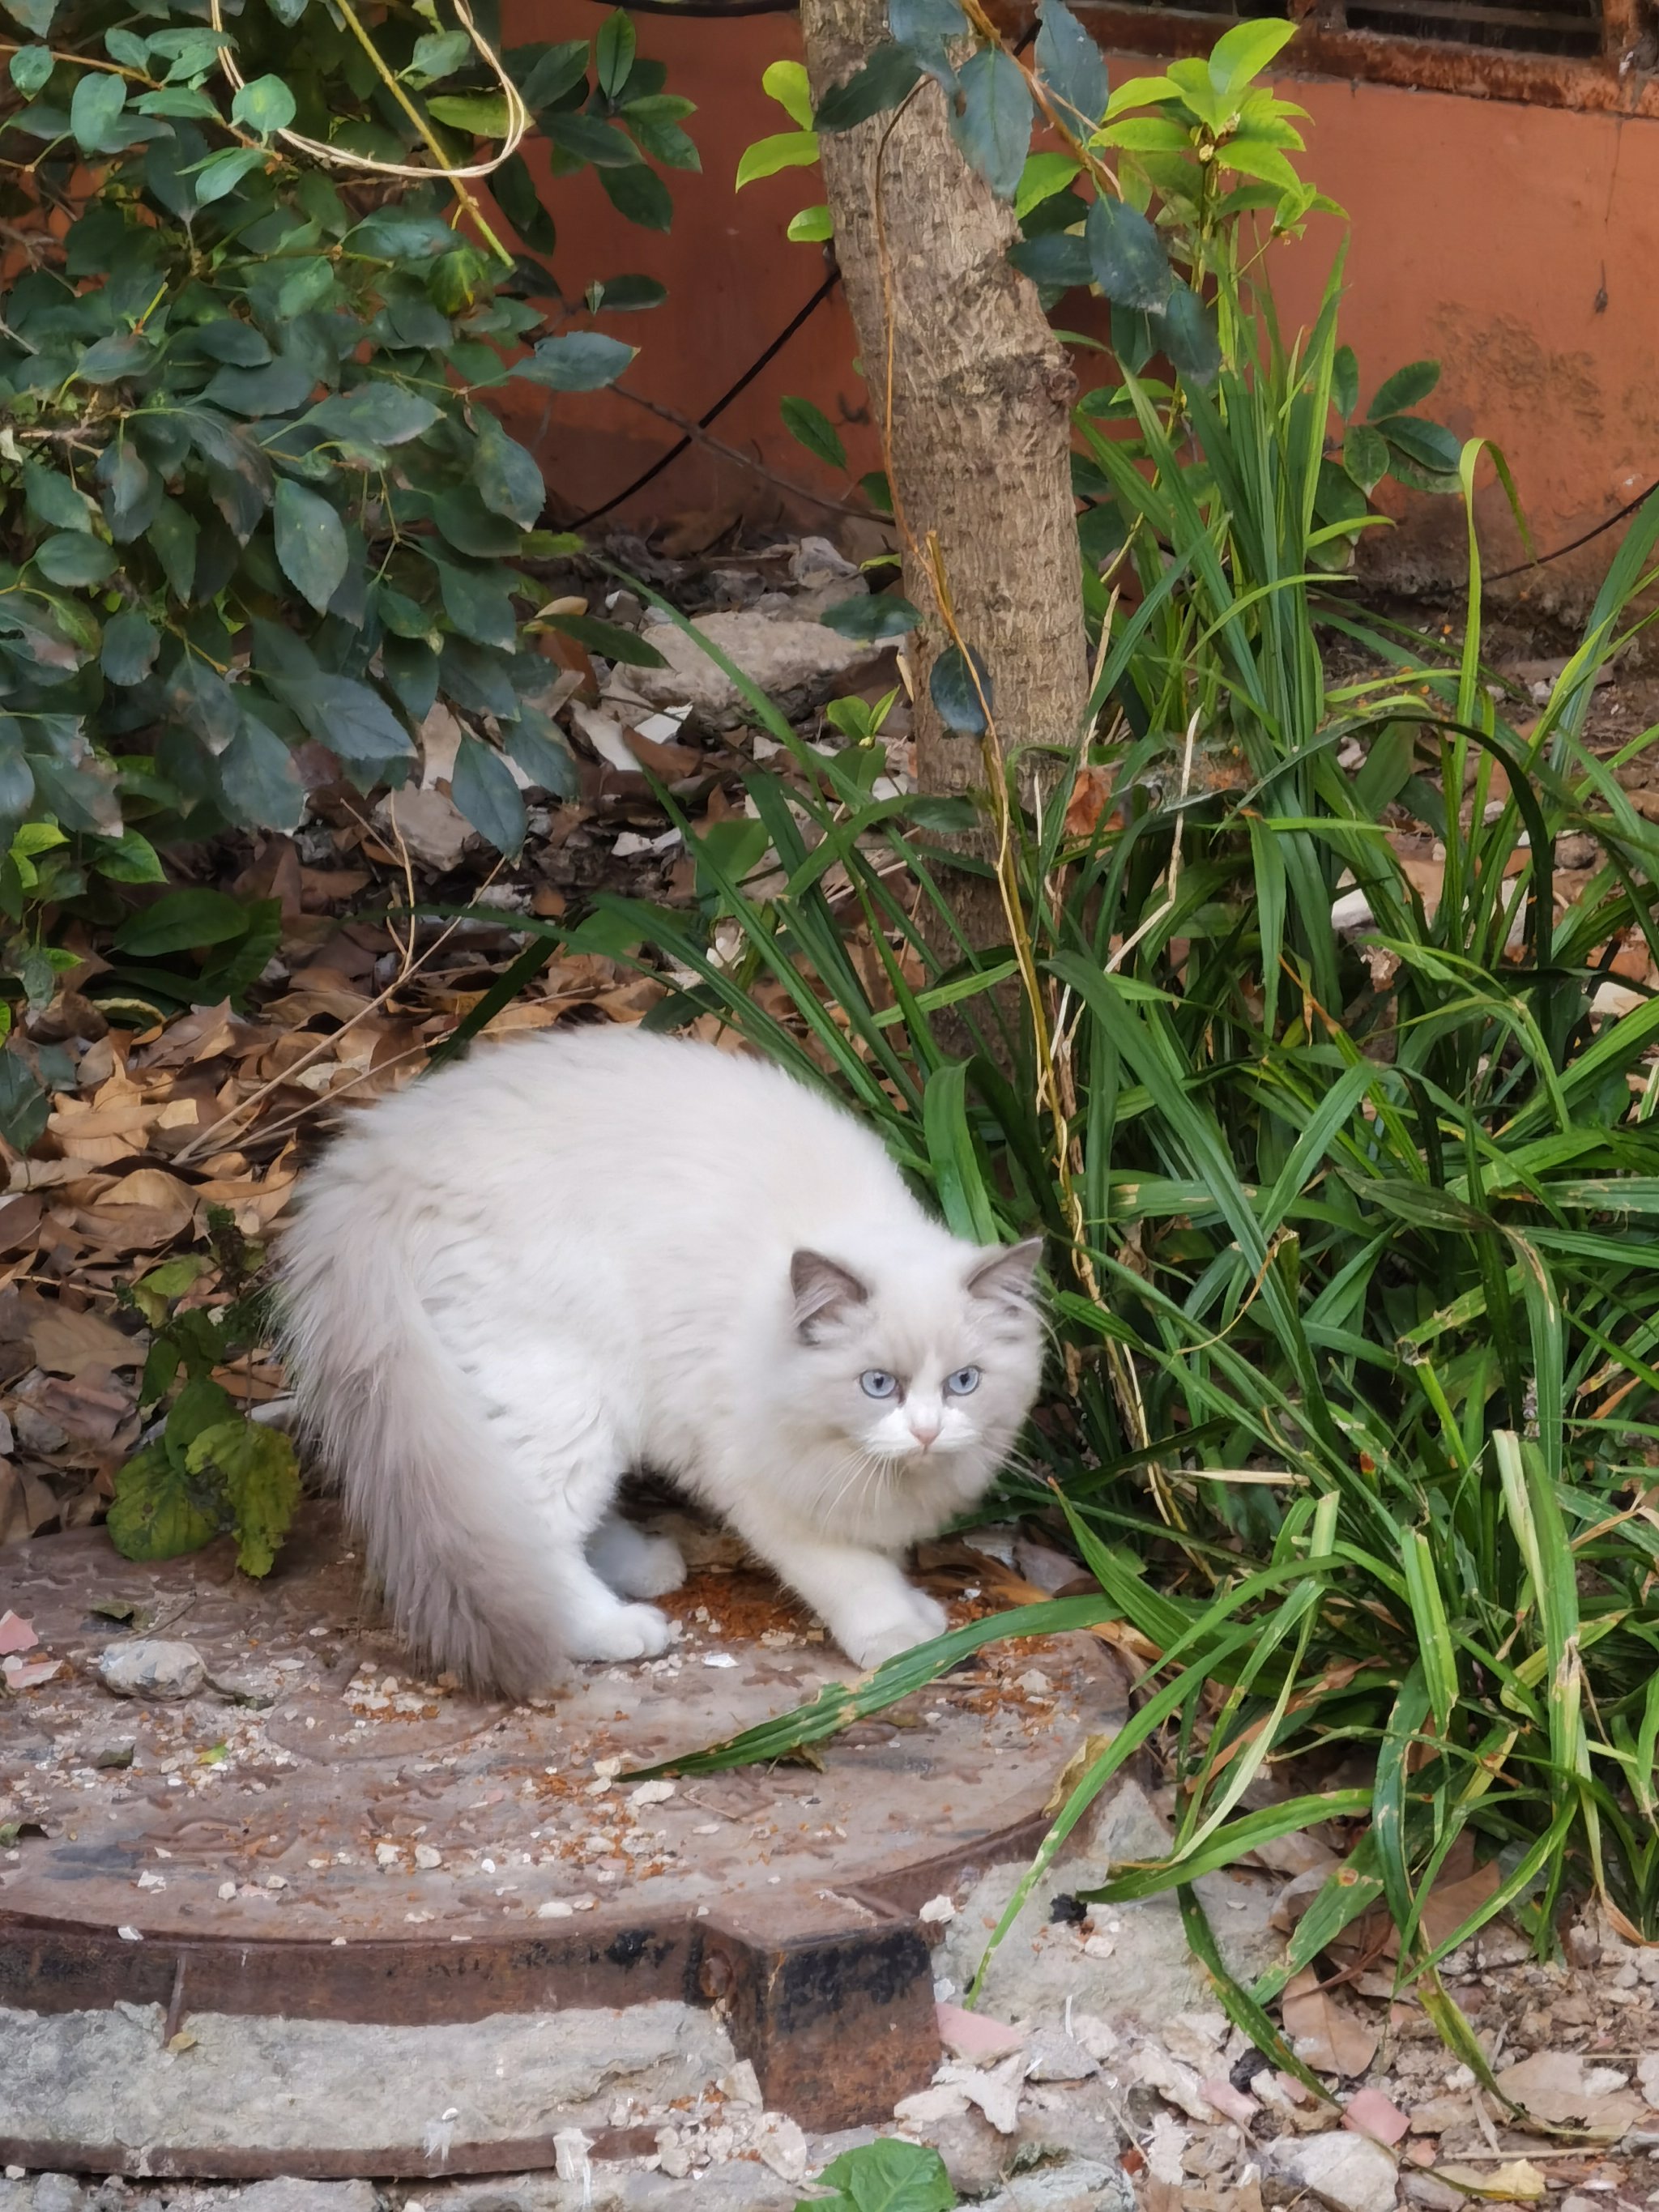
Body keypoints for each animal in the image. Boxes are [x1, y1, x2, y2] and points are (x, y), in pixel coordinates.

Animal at [279, 1021, 1043, 1690]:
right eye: (879, 1384)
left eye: (964, 1382)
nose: (926, 1431)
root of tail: (377, 1154)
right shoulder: (762, 1483)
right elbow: (850, 1571)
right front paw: (900, 1639)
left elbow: (878, 1551)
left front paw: (917, 1611)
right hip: (569, 1392)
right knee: (531, 1526)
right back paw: (613, 1627)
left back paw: (643, 1564)